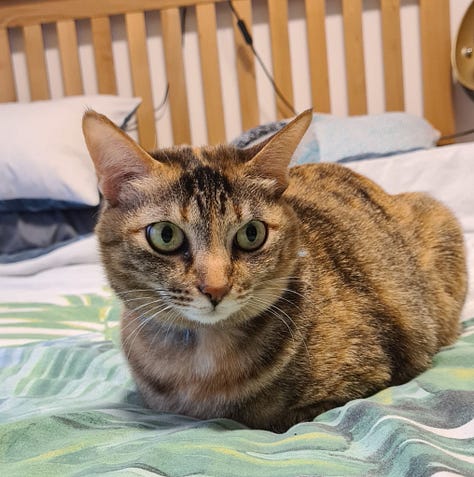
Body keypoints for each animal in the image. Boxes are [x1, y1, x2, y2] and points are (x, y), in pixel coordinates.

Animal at [81, 109, 466, 432]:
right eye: (165, 235)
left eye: (252, 234)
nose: (215, 288)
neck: (202, 357)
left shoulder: (363, 378)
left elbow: (272, 417)